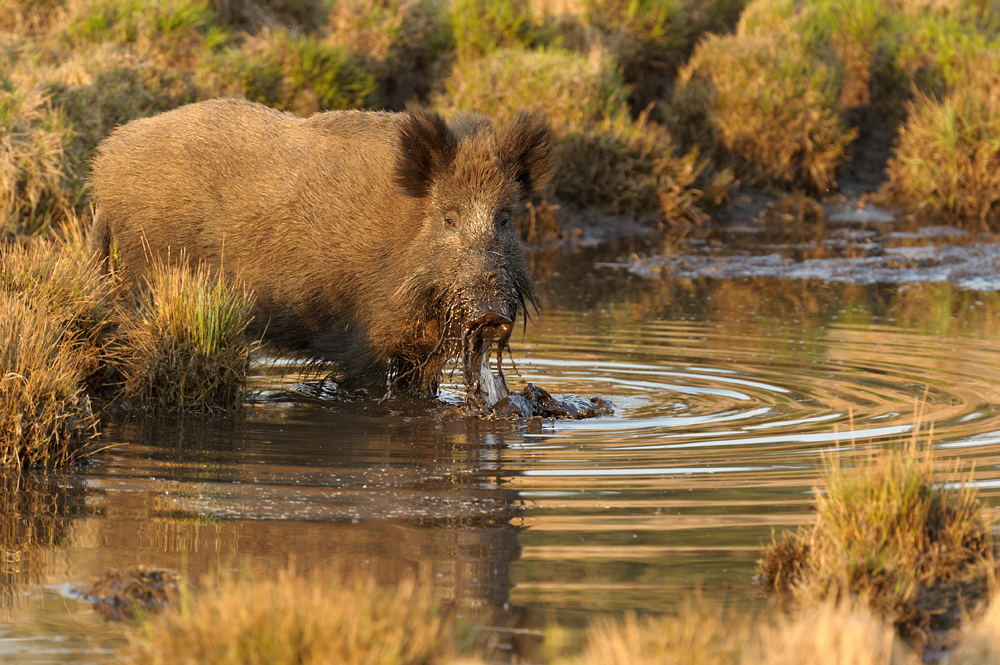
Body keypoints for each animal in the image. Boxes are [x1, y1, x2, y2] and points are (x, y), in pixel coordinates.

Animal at [88, 98, 553, 407]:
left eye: (505, 219)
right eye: (449, 218)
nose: (490, 315)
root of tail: (103, 165)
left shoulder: (419, 349)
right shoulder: (361, 343)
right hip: (142, 275)